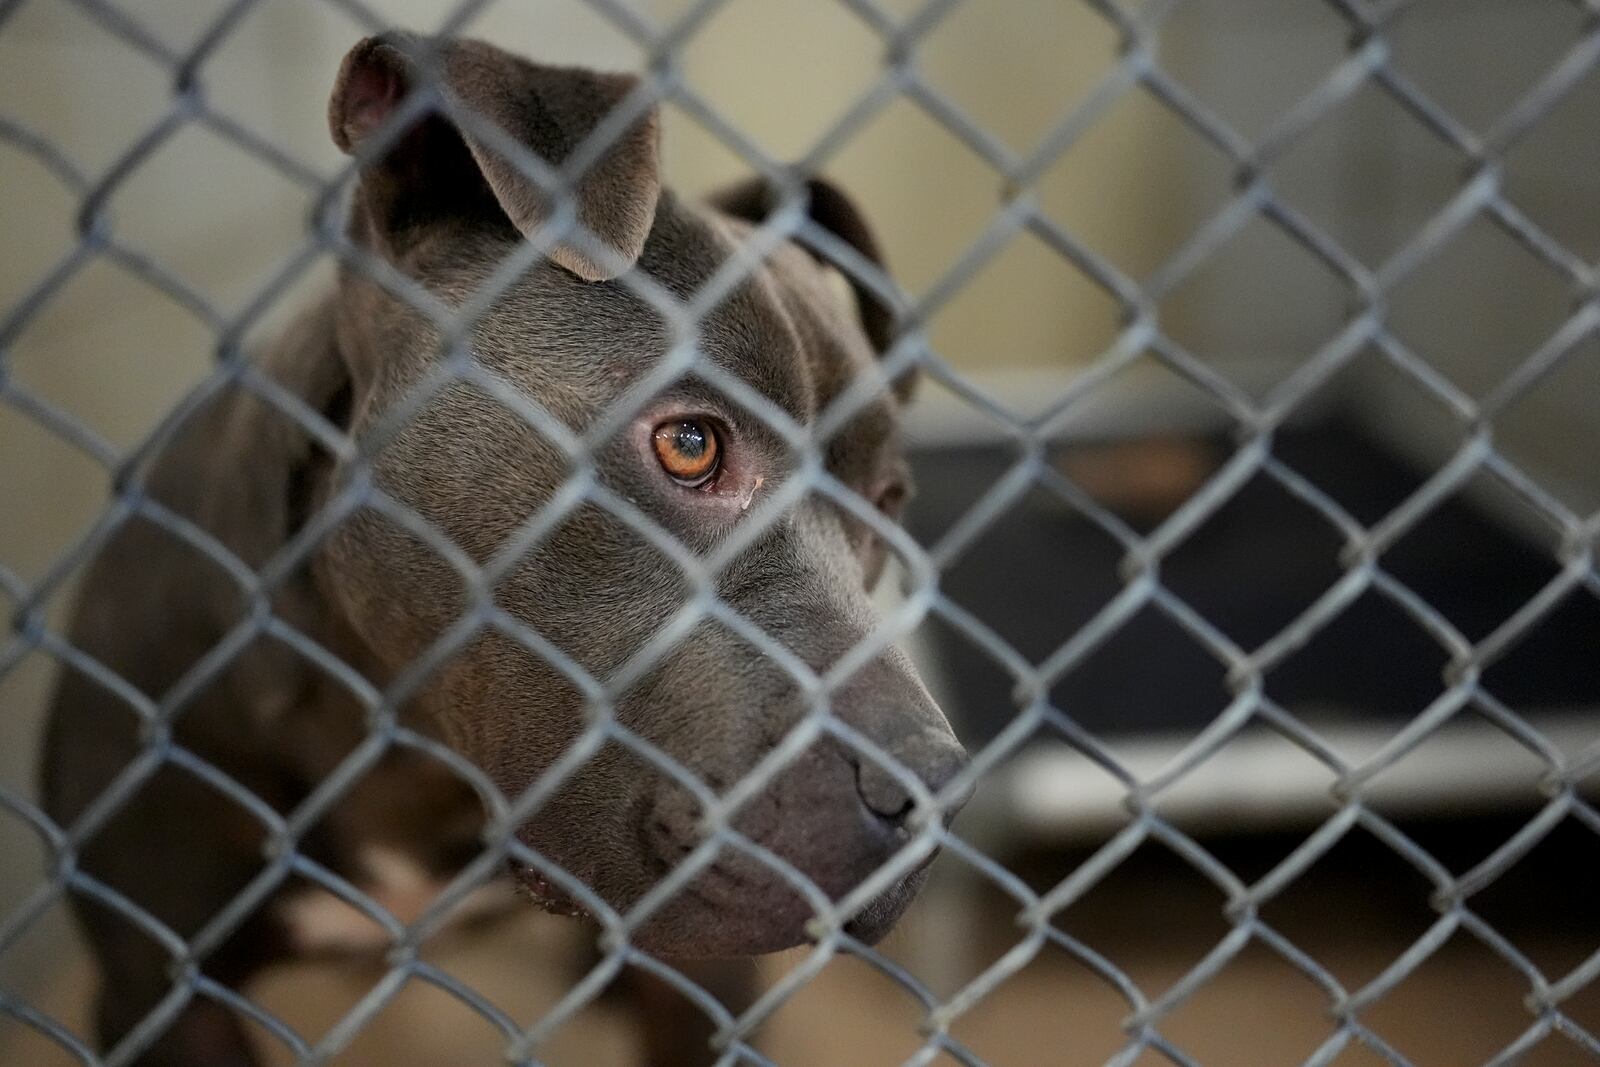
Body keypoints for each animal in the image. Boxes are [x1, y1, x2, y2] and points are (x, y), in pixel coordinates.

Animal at [43, 31, 972, 1067]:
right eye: (691, 443)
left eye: (887, 501)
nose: (933, 791)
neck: (412, 758)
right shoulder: (161, 990)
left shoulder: (700, 987)